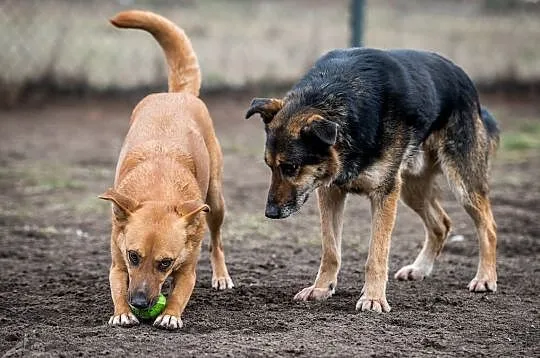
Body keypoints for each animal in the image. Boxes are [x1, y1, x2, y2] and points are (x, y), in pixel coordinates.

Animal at [100, 10, 233, 330]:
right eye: (133, 256)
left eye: (165, 263)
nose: (139, 303)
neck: (159, 190)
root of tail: (177, 94)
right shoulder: (117, 260)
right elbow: (117, 284)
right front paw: (121, 312)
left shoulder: (186, 267)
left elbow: (181, 290)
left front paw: (170, 314)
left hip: (216, 202)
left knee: (218, 241)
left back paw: (221, 276)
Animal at [247, 49, 500, 312]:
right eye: (269, 166)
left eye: (291, 167)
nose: (270, 213)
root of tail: (463, 77)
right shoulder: (330, 192)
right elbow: (330, 249)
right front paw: (321, 288)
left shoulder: (384, 194)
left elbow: (376, 255)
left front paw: (373, 298)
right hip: (410, 188)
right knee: (442, 224)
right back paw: (420, 269)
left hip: (461, 183)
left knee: (488, 227)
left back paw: (485, 277)